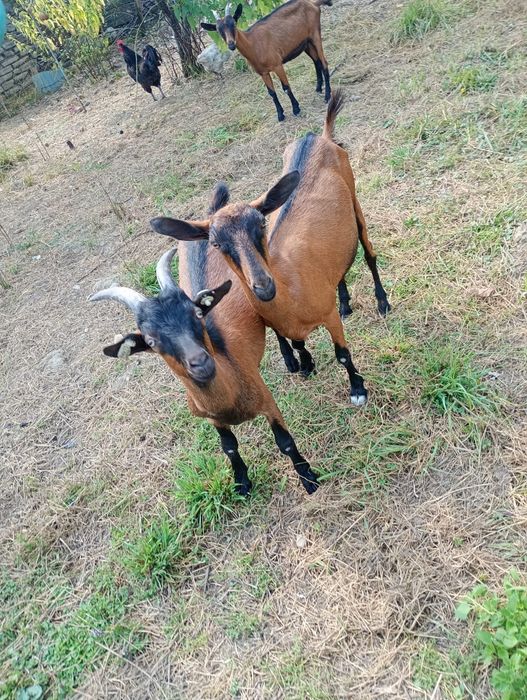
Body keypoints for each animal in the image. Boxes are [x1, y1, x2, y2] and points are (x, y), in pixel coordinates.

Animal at [90, 198, 318, 497]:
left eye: (197, 314)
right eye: (150, 341)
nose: (200, 362)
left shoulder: (267, 401)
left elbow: (285, 441)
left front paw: (309, 478)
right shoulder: (213, 420)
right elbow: (229, 448)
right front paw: (241, 483)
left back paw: (295, 361)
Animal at [150, 90, 390, 405]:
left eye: (262, 225)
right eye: (216, 243)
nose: (263, 286)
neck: (290, 287)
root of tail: (320, 137)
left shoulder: (327, 317)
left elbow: (341, 354)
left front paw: (358, 389)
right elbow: (298, 342)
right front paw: (306, 364)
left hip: (355, 200)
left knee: (369, 253)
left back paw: (383, 303)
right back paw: (345, 303)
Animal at [201, 0, 333, 122]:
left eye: (234, 23)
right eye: (218, 30)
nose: (231, 44)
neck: (253, 44)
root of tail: (313, 3)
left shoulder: (277, 65)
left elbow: (286, 87)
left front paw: (296, 109)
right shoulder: (262, 73)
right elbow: (271, 92)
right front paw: (280, 115)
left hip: (315, 35)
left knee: (324, 63)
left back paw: (327, 96)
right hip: (306, 43)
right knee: (317, 62)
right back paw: (318, 88)